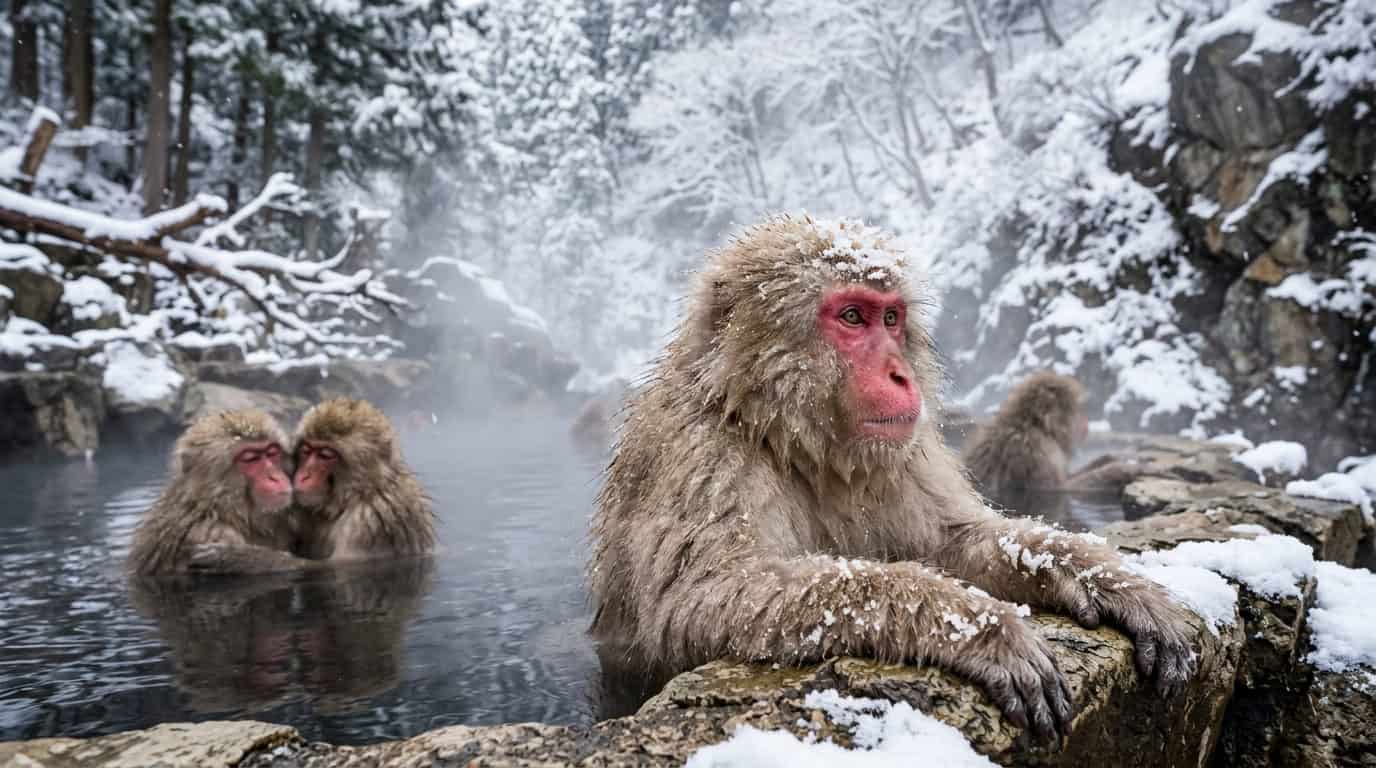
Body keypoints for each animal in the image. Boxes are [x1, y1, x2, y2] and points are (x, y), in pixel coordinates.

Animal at [588, 215, 1195, 744]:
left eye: (891, 319)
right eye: (853, 317)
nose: (900, 374)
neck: (791, 439)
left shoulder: (905, 455)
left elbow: (954, 540)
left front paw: (1105, 578)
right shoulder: (701, 457)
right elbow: (706, 601)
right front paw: (978, 627)